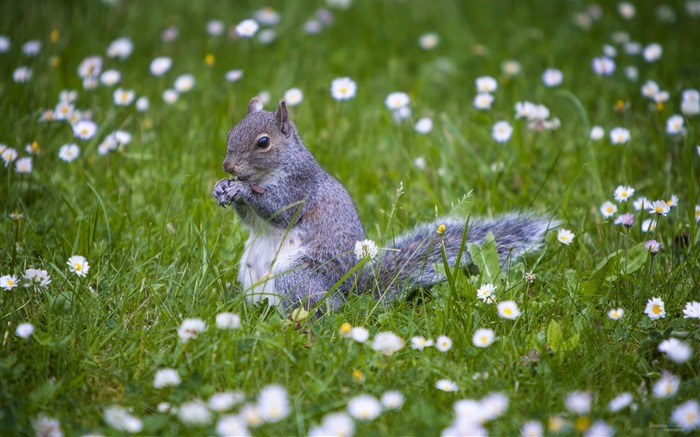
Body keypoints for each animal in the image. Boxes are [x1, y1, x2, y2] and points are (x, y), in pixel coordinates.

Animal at [211, 99, 556, 310]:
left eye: (263, 142)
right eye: (229, 132)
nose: (227, 166)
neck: (266, 173)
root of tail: (347, 297)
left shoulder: (299, 187)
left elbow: (278, 208)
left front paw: (241, 189)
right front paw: (221, 188)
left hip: (295, 276)